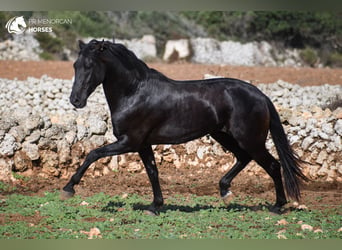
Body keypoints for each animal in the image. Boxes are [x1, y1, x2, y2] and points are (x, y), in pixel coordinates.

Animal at [60, 39, 308, 215]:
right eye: (75, 65)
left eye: (89, 65)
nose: (75, 100)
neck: (134, 92)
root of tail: (261, 95)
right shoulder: (143, 144)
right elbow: (152, 172)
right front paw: (155, 206)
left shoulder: (129, 142)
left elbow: (93, 154)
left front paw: (68, 189)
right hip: (224, 135)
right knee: (243, 158)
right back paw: (225, 191)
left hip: (250, 139)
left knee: (273, 165)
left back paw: (277, 206)